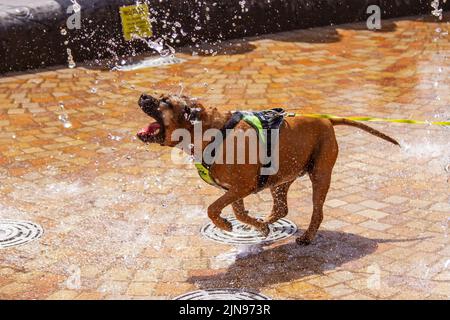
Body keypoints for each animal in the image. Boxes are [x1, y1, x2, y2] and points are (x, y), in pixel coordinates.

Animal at [136, 94, 398, 244]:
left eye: (165, 102)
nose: (143, 95)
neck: (209, 131)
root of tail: (326, 119)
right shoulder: (236, 189)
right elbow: (239, 212)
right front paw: (256, 225)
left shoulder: (241, 186)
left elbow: (212, 209)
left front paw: (225, 224)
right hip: (281, 178)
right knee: (281, 208)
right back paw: (267, 221)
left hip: (320, 175)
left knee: (317, 211)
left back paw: (307, 236)